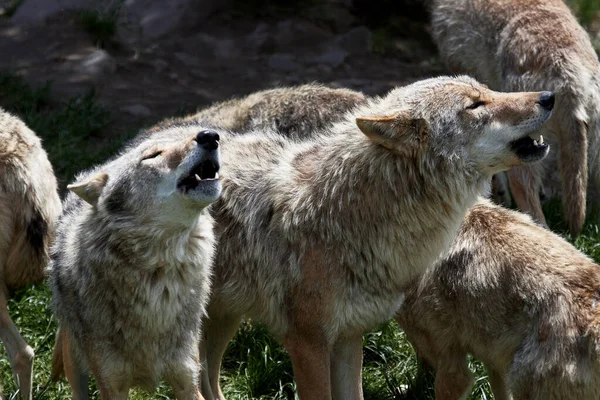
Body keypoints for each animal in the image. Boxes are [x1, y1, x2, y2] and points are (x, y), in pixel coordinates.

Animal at [161, 76, 552, 400]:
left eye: (488, 90)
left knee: (209, 381)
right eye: (475, 105)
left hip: (224, 319)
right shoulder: (307, 342)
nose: (549, 96)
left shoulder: (348, 337)